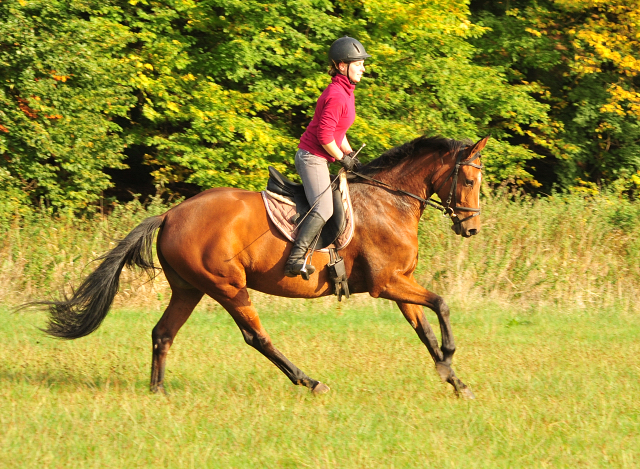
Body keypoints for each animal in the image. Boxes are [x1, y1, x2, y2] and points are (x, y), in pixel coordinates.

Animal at [37, 135, 488, 398]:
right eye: (468, 180)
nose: (471, 228)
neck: (390, 199)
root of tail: (170, 214)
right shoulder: (387, 283)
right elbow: (442, 304)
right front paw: (451, 357)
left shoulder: (400, 282)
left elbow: (424, 329)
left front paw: (455, 380)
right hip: (227, 286)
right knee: (256, 336)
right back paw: (310, 381)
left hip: (188, 288)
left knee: (163, 333)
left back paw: (158, 391)